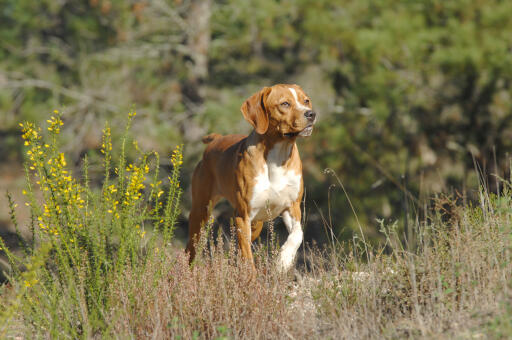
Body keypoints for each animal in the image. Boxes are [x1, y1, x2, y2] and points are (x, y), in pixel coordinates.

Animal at [187, 84, 316, 270]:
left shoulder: (292, 207)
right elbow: (248, 258)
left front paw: (283, 260)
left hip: (256, 224)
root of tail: (216, 140)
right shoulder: (243, 216)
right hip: (201, 212)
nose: (311, 114)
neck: (277, 158)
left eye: (306, 101)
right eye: (285, 104)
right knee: (192, 247)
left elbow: (298, 234)